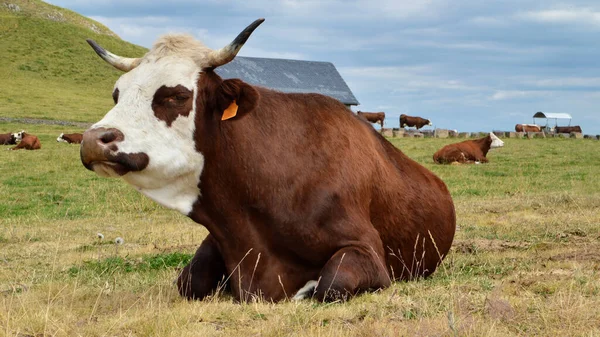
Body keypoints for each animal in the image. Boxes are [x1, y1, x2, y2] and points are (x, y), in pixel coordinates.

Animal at [79, 17, 454, 302]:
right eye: (117, 93)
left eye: (176, 95)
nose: (92, 140)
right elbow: (189, 281)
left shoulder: (367, 253)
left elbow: (330, 284)